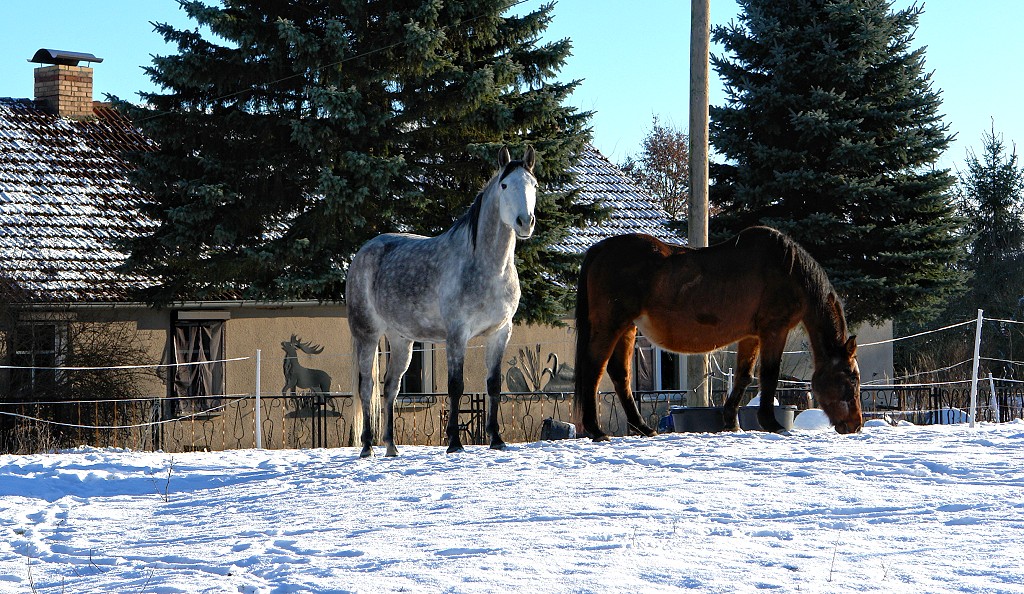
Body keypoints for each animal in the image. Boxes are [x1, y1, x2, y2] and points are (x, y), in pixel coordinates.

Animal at [346, 146, 536, 456]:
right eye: (505, 185)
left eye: (534, 185)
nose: (525, 222)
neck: (487, 267)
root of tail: (363, 252)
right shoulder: (457, 335)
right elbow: (455, 386)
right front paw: (454, 444)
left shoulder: (500, 332)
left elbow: (494, 385)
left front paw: (496, 439)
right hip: (367, 335)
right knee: (367, 386)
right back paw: (367, 447)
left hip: (401, 340)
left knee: (390, 387)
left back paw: (391, 447)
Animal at [573, 225, 860, 438]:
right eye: (851, 378)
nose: (856, 425)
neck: (789, 272)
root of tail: (600, 249)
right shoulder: (774, 330)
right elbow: (769, 375)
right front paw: (771, 423)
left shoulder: (751, 336)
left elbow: (744, 376)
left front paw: (731, 421)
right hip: (611, 324)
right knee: (594, 368)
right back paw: (596, 430)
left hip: (627, 327)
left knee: (619, 374)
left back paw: (643, 427)